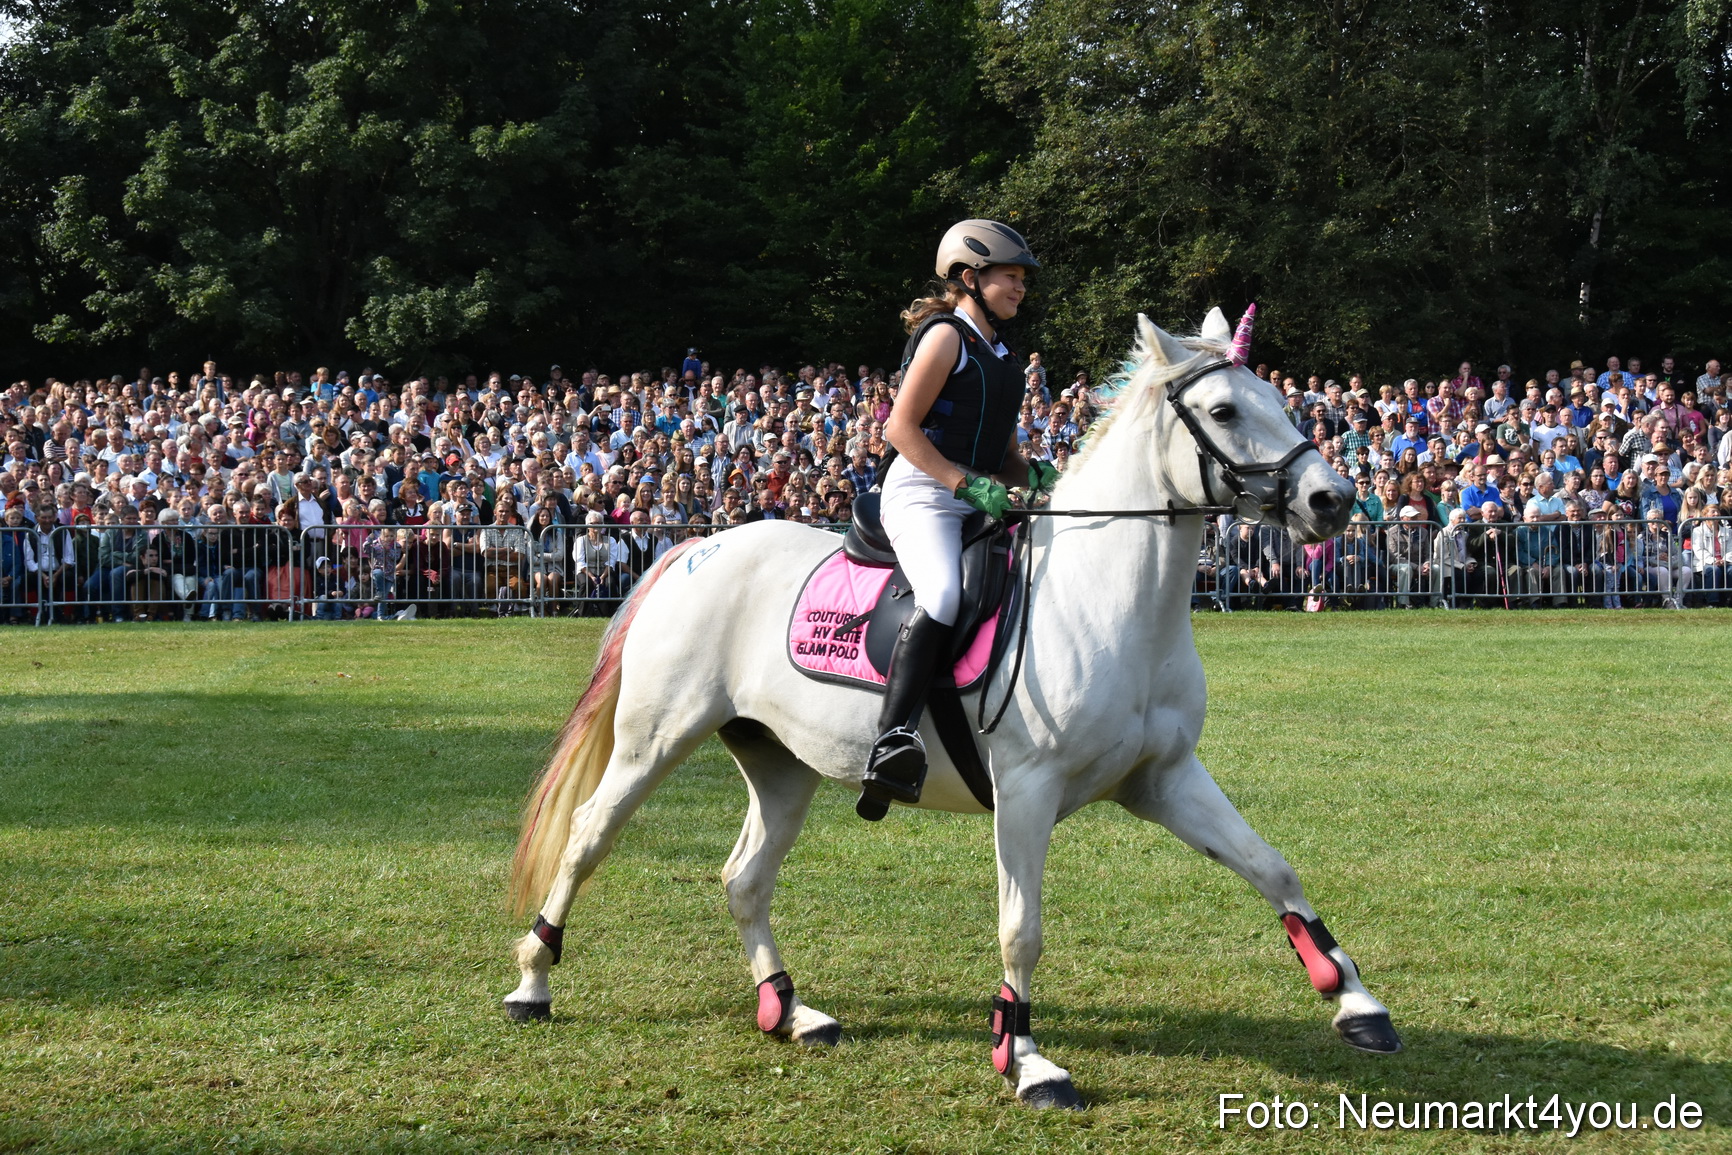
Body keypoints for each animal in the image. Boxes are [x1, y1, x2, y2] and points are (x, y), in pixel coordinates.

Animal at [502, 308, 1399, 1109]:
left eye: (1278, 399)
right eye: (1223, 412)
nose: (1333, 499)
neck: (1113, 596)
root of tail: (696, 546)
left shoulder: (1164, 778)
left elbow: (1271, 865)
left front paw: (1354, 1000)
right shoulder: (1027, 790)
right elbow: (1021, 927)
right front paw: (1027, 1061)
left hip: (780, 762)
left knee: (744, 879)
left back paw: (789, 1009)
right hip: (654, 739)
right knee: (587, 836)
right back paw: (533, 981)